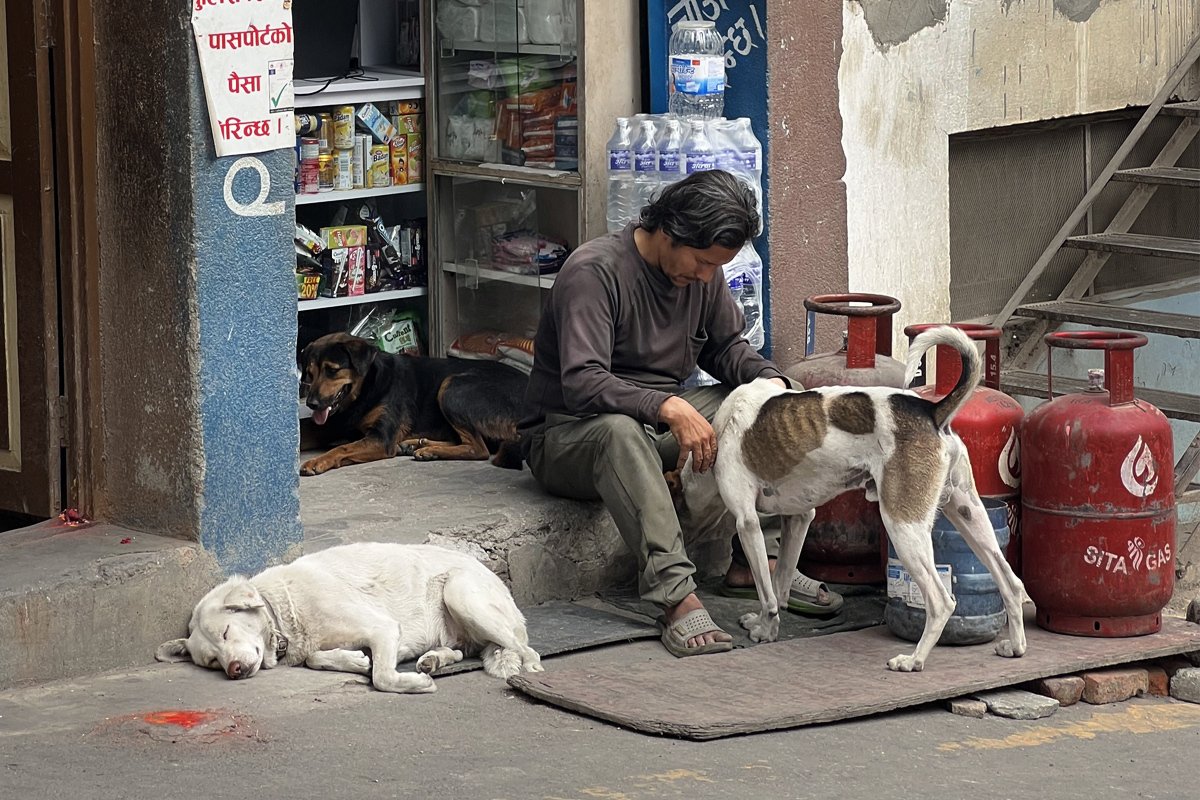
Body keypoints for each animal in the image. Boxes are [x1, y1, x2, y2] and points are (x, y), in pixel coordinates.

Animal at [156, 544, 544, 695]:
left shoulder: (383, 628)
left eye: (225, 632)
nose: (234, 670)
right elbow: (316, 658)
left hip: (461, 593)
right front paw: (356, 661)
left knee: (526, 651)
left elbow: (383, 677)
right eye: (211, 662)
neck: (285, 608)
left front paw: (410, 684)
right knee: (464, 651)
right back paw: (434, 660)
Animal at [297, 331, 523, 474]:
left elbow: (342, 448)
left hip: (451, 386)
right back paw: (419, 445)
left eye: (332, 370)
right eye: (309, 373)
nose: (312, 404)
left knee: (478, 448)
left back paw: (430, 449)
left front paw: (318, 460)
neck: (365, 388)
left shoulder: (381, 438)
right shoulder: (330, 424)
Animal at [691, 326, 1027, 671]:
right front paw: (770, 626)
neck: (726, 420)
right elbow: (780, 580)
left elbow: (767, 593)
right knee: (1011, 582)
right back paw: (1015, 646)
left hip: (903, 525)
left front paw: (763, 629)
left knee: (941, 601)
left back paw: (914, 659)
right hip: (968, 513)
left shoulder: (747, 523)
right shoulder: (800, 517)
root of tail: (931, 412)